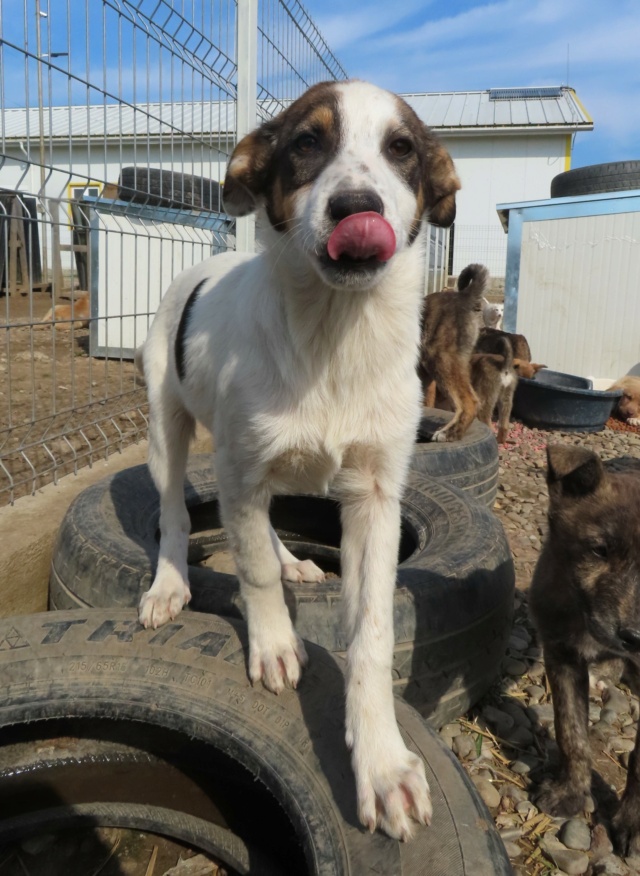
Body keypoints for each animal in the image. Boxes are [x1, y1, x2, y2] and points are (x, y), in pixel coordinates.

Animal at [139, 82, 460, 840]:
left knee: (265, 527)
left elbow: (371, 633)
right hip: (167, 428)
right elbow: (251, 568)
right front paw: (275, 643)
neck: (336, 334)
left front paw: (382, 762)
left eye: (401, 148)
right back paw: (170, 584)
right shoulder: (238, 472)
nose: (356, 209)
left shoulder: (375, 496)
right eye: (307, 143)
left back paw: (293, 562)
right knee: (174, 516)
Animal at [528, 444, 640, 856]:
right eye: (599, 550)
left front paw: (631, 822)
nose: (636, 637)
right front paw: (570, 792)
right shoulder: (562, 656)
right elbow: (571, 733)